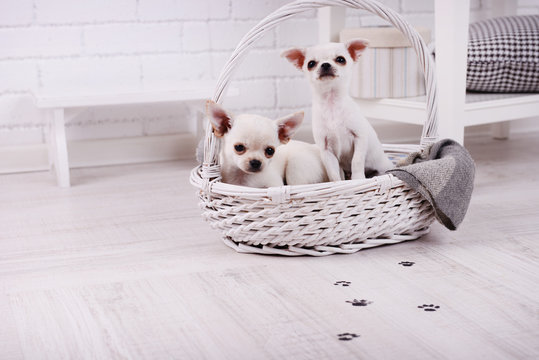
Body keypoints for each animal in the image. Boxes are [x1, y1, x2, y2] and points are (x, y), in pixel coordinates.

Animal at [284, 39, 394, 181]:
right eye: (311, 64)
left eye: (341, 59)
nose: (325, 64)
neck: (331, 104)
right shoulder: (326, 151)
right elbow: (333, 172)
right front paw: (337, 183)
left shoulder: (359, 138)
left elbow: (356, 161)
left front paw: (358, 179)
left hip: (383, 166)